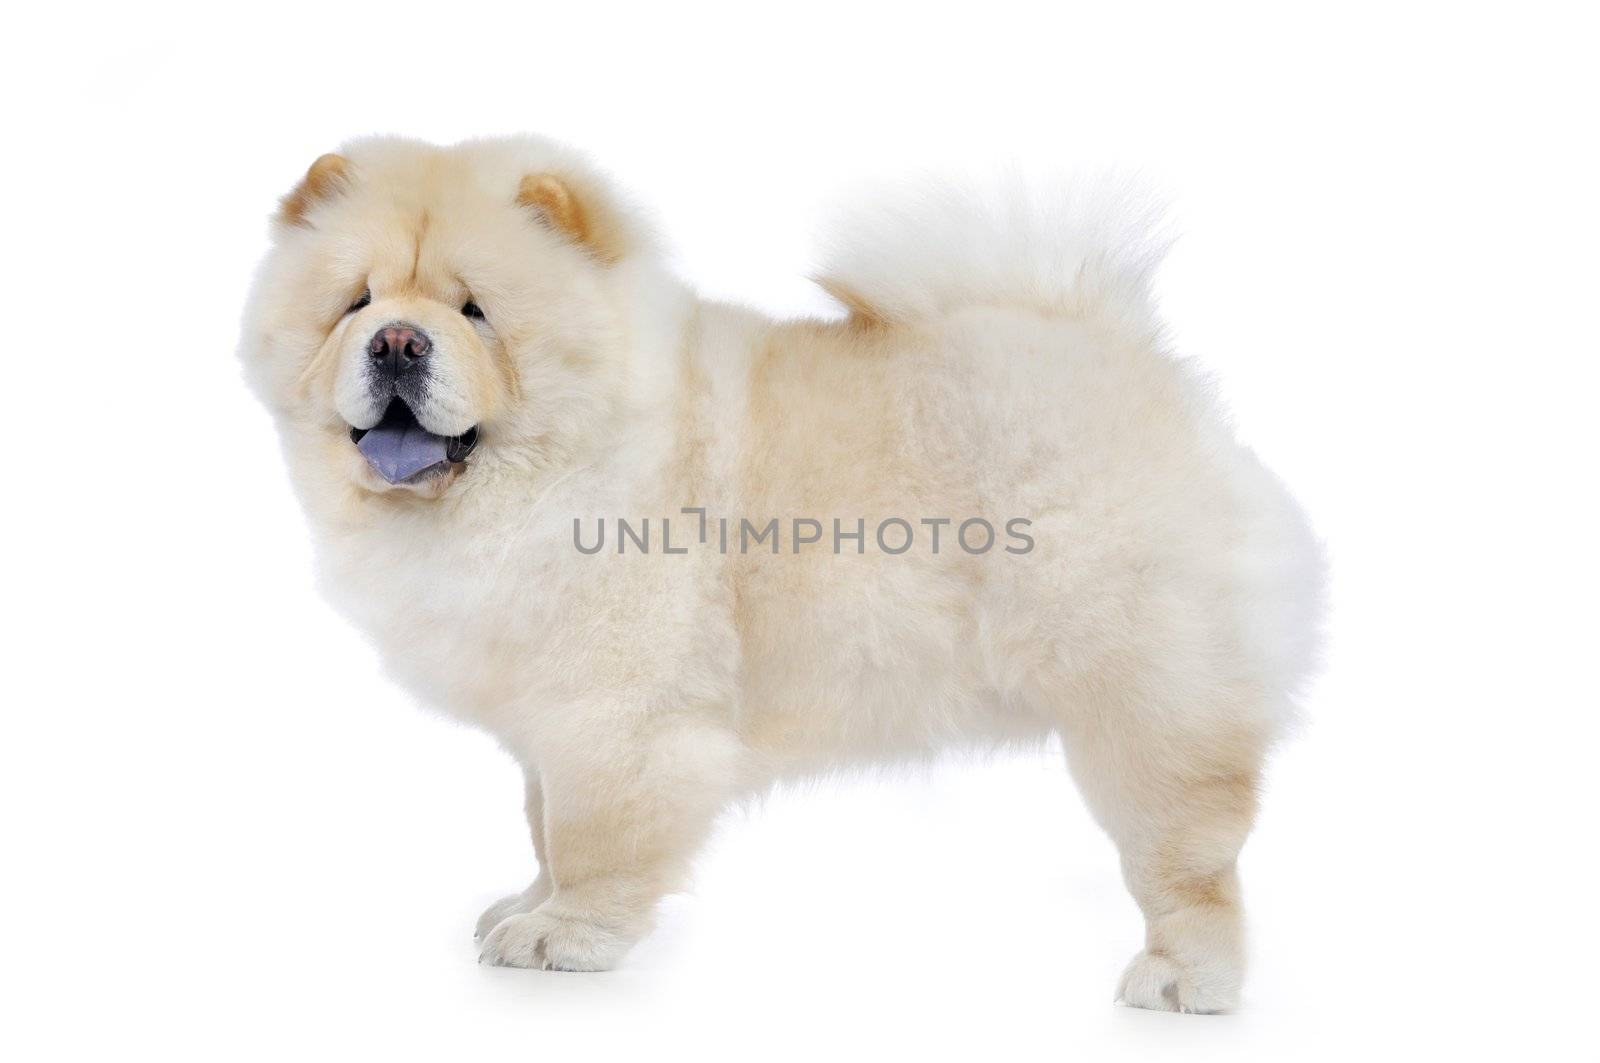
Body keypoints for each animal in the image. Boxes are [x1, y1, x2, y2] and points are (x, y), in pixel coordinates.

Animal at [240, 136, 1324, 1011]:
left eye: (476, 311)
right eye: (355, 304)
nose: (397, 341)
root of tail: (1132, 362)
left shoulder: (613, 714)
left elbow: (591, 833)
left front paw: (562, 936)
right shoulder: (545, 720)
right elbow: (543, 824)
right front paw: (526, 903)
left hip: (1144, 706)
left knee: (1192, 857)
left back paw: (1186, 981)